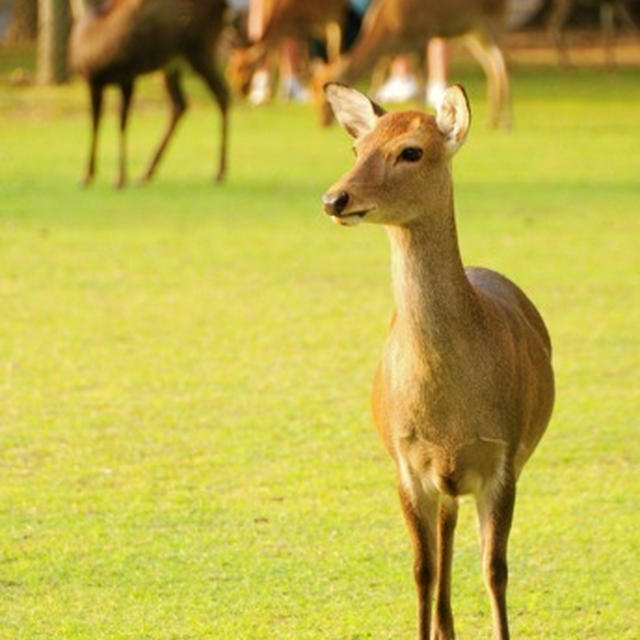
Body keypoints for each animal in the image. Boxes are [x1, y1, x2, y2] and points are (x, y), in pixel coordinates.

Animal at [69, 0, 230, 188]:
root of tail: (224, 6)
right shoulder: (93, 81)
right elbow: (95, 124)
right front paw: (87, 176)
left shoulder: (127, 76)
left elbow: (121, 124)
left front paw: (120, 177)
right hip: (171, 63)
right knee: (180, 104)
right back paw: (146, 173)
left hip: (200, 48)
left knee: (222, 94)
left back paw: (220, 172)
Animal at [314, 0, 510, 129]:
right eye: (313, 90)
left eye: (326, 101)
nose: (322, 122)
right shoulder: (390, 52)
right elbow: (378, 77)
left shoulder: (423, 36)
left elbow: (421, 85)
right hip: (471, 33)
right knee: (491, 66)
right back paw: (493, 121)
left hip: (492, 22)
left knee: (500, 63)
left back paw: (506, 123)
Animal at [322, 81, 552, 640]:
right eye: (356, 148)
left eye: (411, 151)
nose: (335, 198)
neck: (449, 413)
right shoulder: (406, 462)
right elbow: (421, 569)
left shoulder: (503, 457)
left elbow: (495, 569)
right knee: (445, 535)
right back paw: (445, 626)